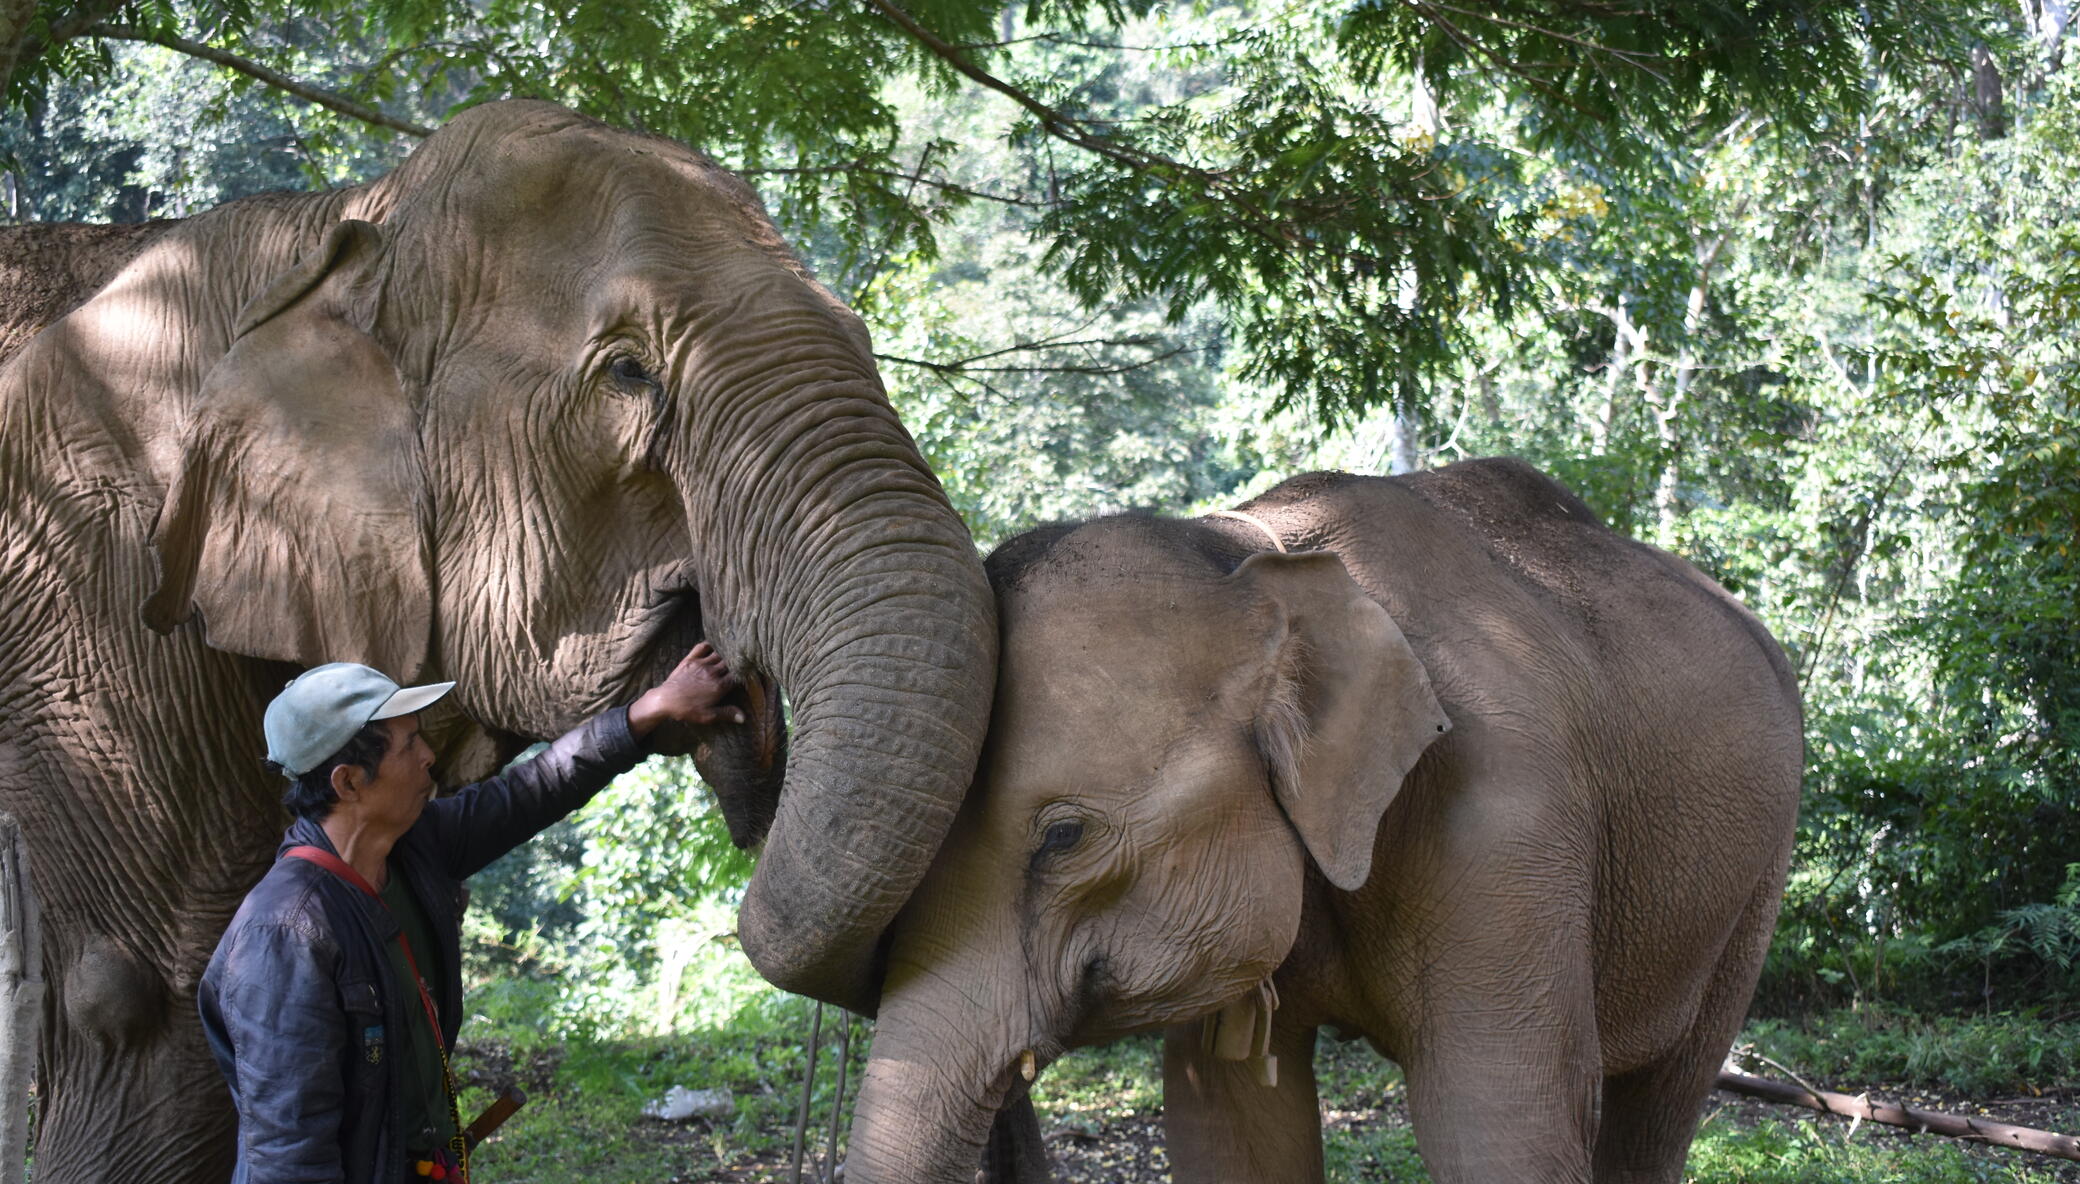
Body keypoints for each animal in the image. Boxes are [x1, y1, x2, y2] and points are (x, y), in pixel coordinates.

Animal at [845, 459, 1804, 1184]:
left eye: (1063, 838)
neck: (1253, 560)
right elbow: (1232, 1124)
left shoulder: (1507, 819)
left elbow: (1498, 1118)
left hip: (1755, 878)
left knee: (1661, 1103)